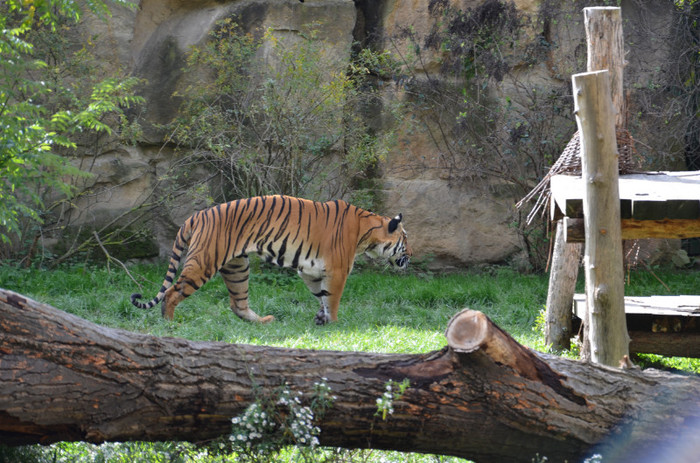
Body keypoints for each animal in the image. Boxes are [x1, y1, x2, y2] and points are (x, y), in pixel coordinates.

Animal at [131, 196, 410, 326]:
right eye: (405, 239)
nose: (410, 257)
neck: (368, 231)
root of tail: (196, 215)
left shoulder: (311, 271)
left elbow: (321, 296)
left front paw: (321, 319)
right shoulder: (337, 270)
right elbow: (333, 299)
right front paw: (334, 324)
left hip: (237, 267)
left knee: (237, 304)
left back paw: (262, 321)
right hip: (204, 262)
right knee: (171, 293)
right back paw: (169, 324)